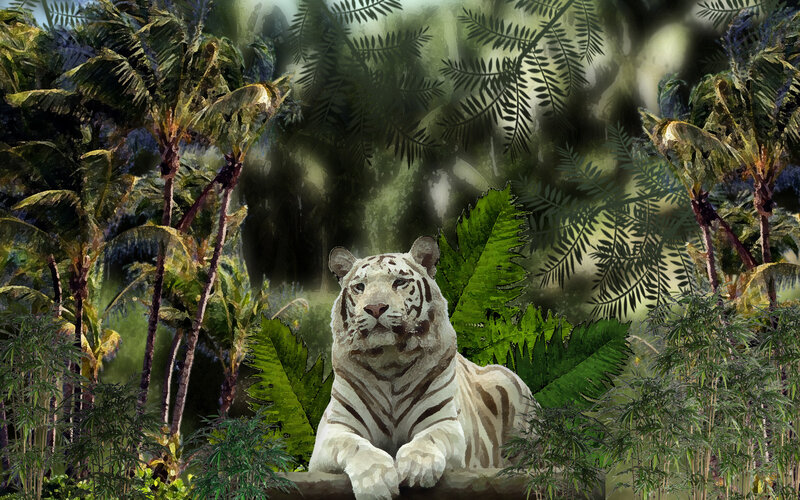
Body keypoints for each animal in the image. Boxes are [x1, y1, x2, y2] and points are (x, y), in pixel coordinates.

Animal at [308, 236, 536, 500]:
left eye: (399, 282)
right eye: (360, 287)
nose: (375, 308)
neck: (388, 360)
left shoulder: (443, 421)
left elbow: (430, 438)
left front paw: (417, 466)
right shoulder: (334, 429)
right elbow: (355, 445)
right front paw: (375, 479)